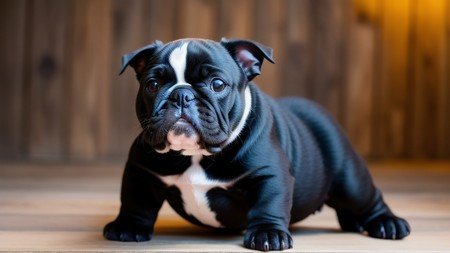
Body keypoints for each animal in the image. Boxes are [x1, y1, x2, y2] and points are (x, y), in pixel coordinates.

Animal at [103, 38, 410, 252]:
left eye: (217, 84)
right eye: (152, 84)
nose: (181, 95)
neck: (196, 155)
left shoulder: (269, 174)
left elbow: (268, 203)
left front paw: (268, 234)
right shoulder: (140, 169)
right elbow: (135, 200)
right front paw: (128, 226)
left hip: (348, 178)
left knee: (368, 199)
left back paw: (387, 224)